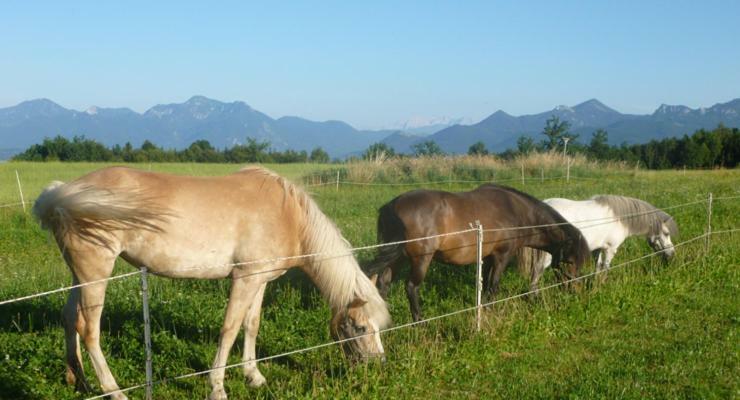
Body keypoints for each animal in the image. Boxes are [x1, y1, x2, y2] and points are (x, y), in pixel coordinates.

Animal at [33, 166, 394, 400]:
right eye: (360, 327)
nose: (378, 364)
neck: (288, 215)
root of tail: (62, 193)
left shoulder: (260, 280)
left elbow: (251, 325)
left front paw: (254, 377)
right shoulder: (244, 279)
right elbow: (230, 329)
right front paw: (217, 387)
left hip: (80, 276)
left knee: (69, 318)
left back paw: (79, 381)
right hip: (96, 273)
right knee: (89, 329)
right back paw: (114, 391)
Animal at [366, 184, 588, 322]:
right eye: (570, 262)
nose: (576, 291)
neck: (516, 210)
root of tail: (392, 205)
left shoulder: (488, 257)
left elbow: (486, 284)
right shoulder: (502, 256)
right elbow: (493, 286)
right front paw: (490, 311)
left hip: (397, 258)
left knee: (383, 283)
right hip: (420, 259)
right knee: (412, 287)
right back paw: (420, 322)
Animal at [516, 193, 680, 290]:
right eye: (666, 234)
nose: (672, 253)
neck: (619, 218)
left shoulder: (598, 249)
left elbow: (597, 267)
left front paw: (594, 285)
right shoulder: (610, 249)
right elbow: (606, 267)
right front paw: (602, 286)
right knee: (537, 272)